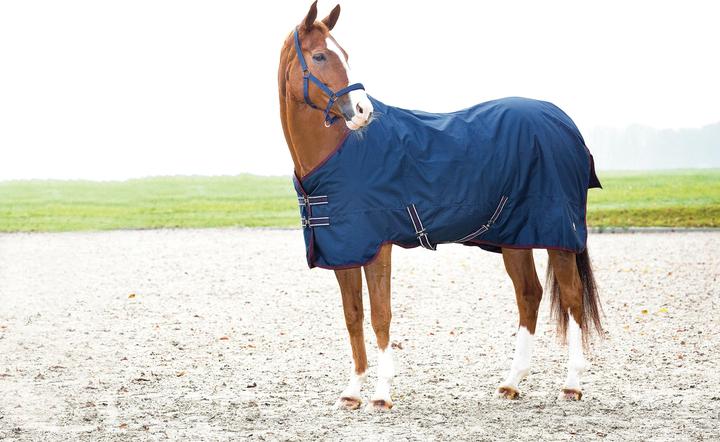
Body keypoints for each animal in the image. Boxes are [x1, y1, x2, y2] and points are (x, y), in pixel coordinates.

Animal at [277, 1, 603, 411]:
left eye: (345, 55)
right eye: (320, 56)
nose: (363, 111)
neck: (340, 154)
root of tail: (565, 123)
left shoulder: (377, 246)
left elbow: (380, 315)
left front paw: (382, 394)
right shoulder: (344, 251)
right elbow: (353, 316)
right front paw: (352, 392)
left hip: (559, 236)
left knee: (573, 300)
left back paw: (572, 384)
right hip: (515, 236)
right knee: (529, 295)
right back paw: (512, 382)